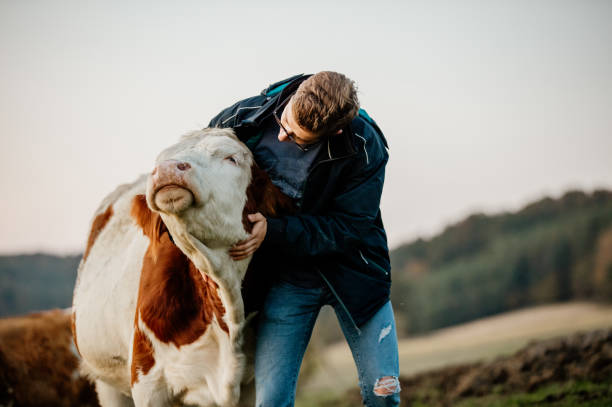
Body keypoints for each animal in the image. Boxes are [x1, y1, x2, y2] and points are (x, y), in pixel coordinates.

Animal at [71, 128, 292, 407]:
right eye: (161, 159)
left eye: (231, 158)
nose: (166, 169)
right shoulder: (146, 381)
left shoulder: (251, 384)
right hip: (107, 383)